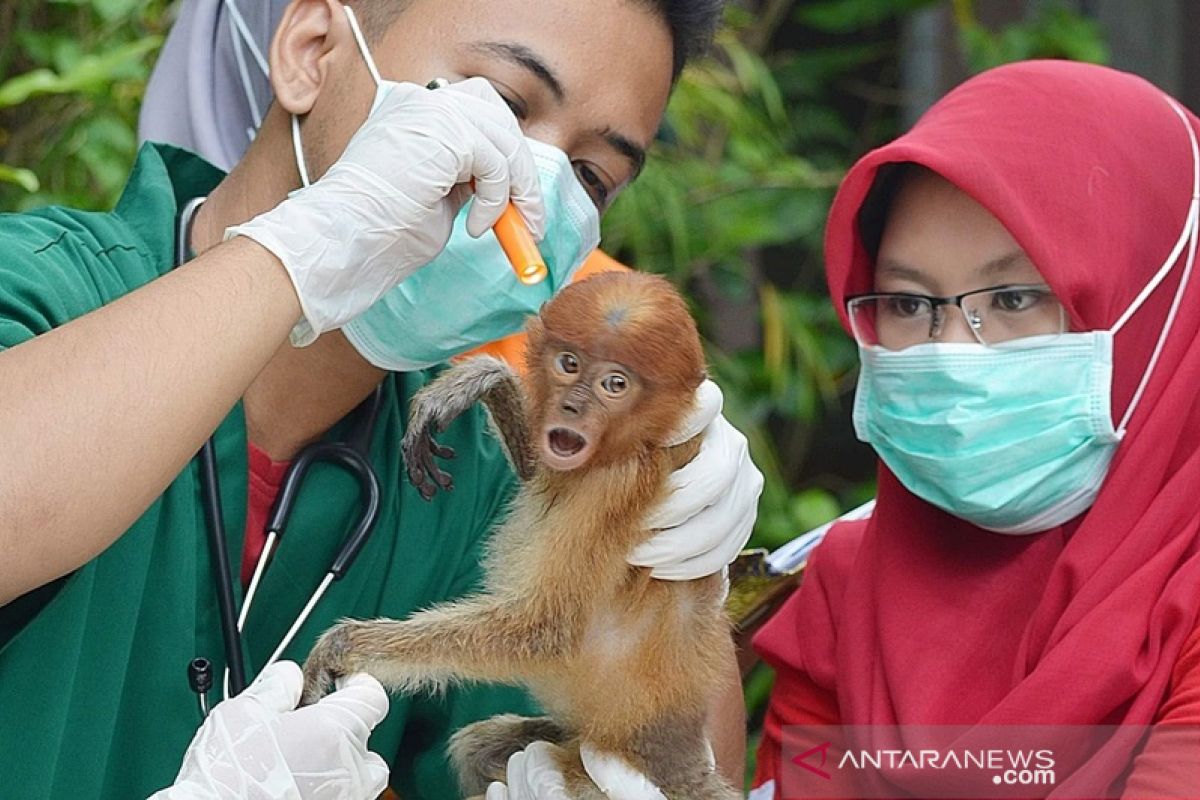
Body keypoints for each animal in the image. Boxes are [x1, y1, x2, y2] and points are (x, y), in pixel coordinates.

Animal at [304, 272, 734, 796]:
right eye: (569, 364)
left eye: (615, 384)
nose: (571, 407)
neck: (638, 443)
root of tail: (678, 756)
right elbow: (536, 471)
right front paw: (483, 381)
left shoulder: (614, 486)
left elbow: (544, 631)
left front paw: (345, 645)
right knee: (475, 747)